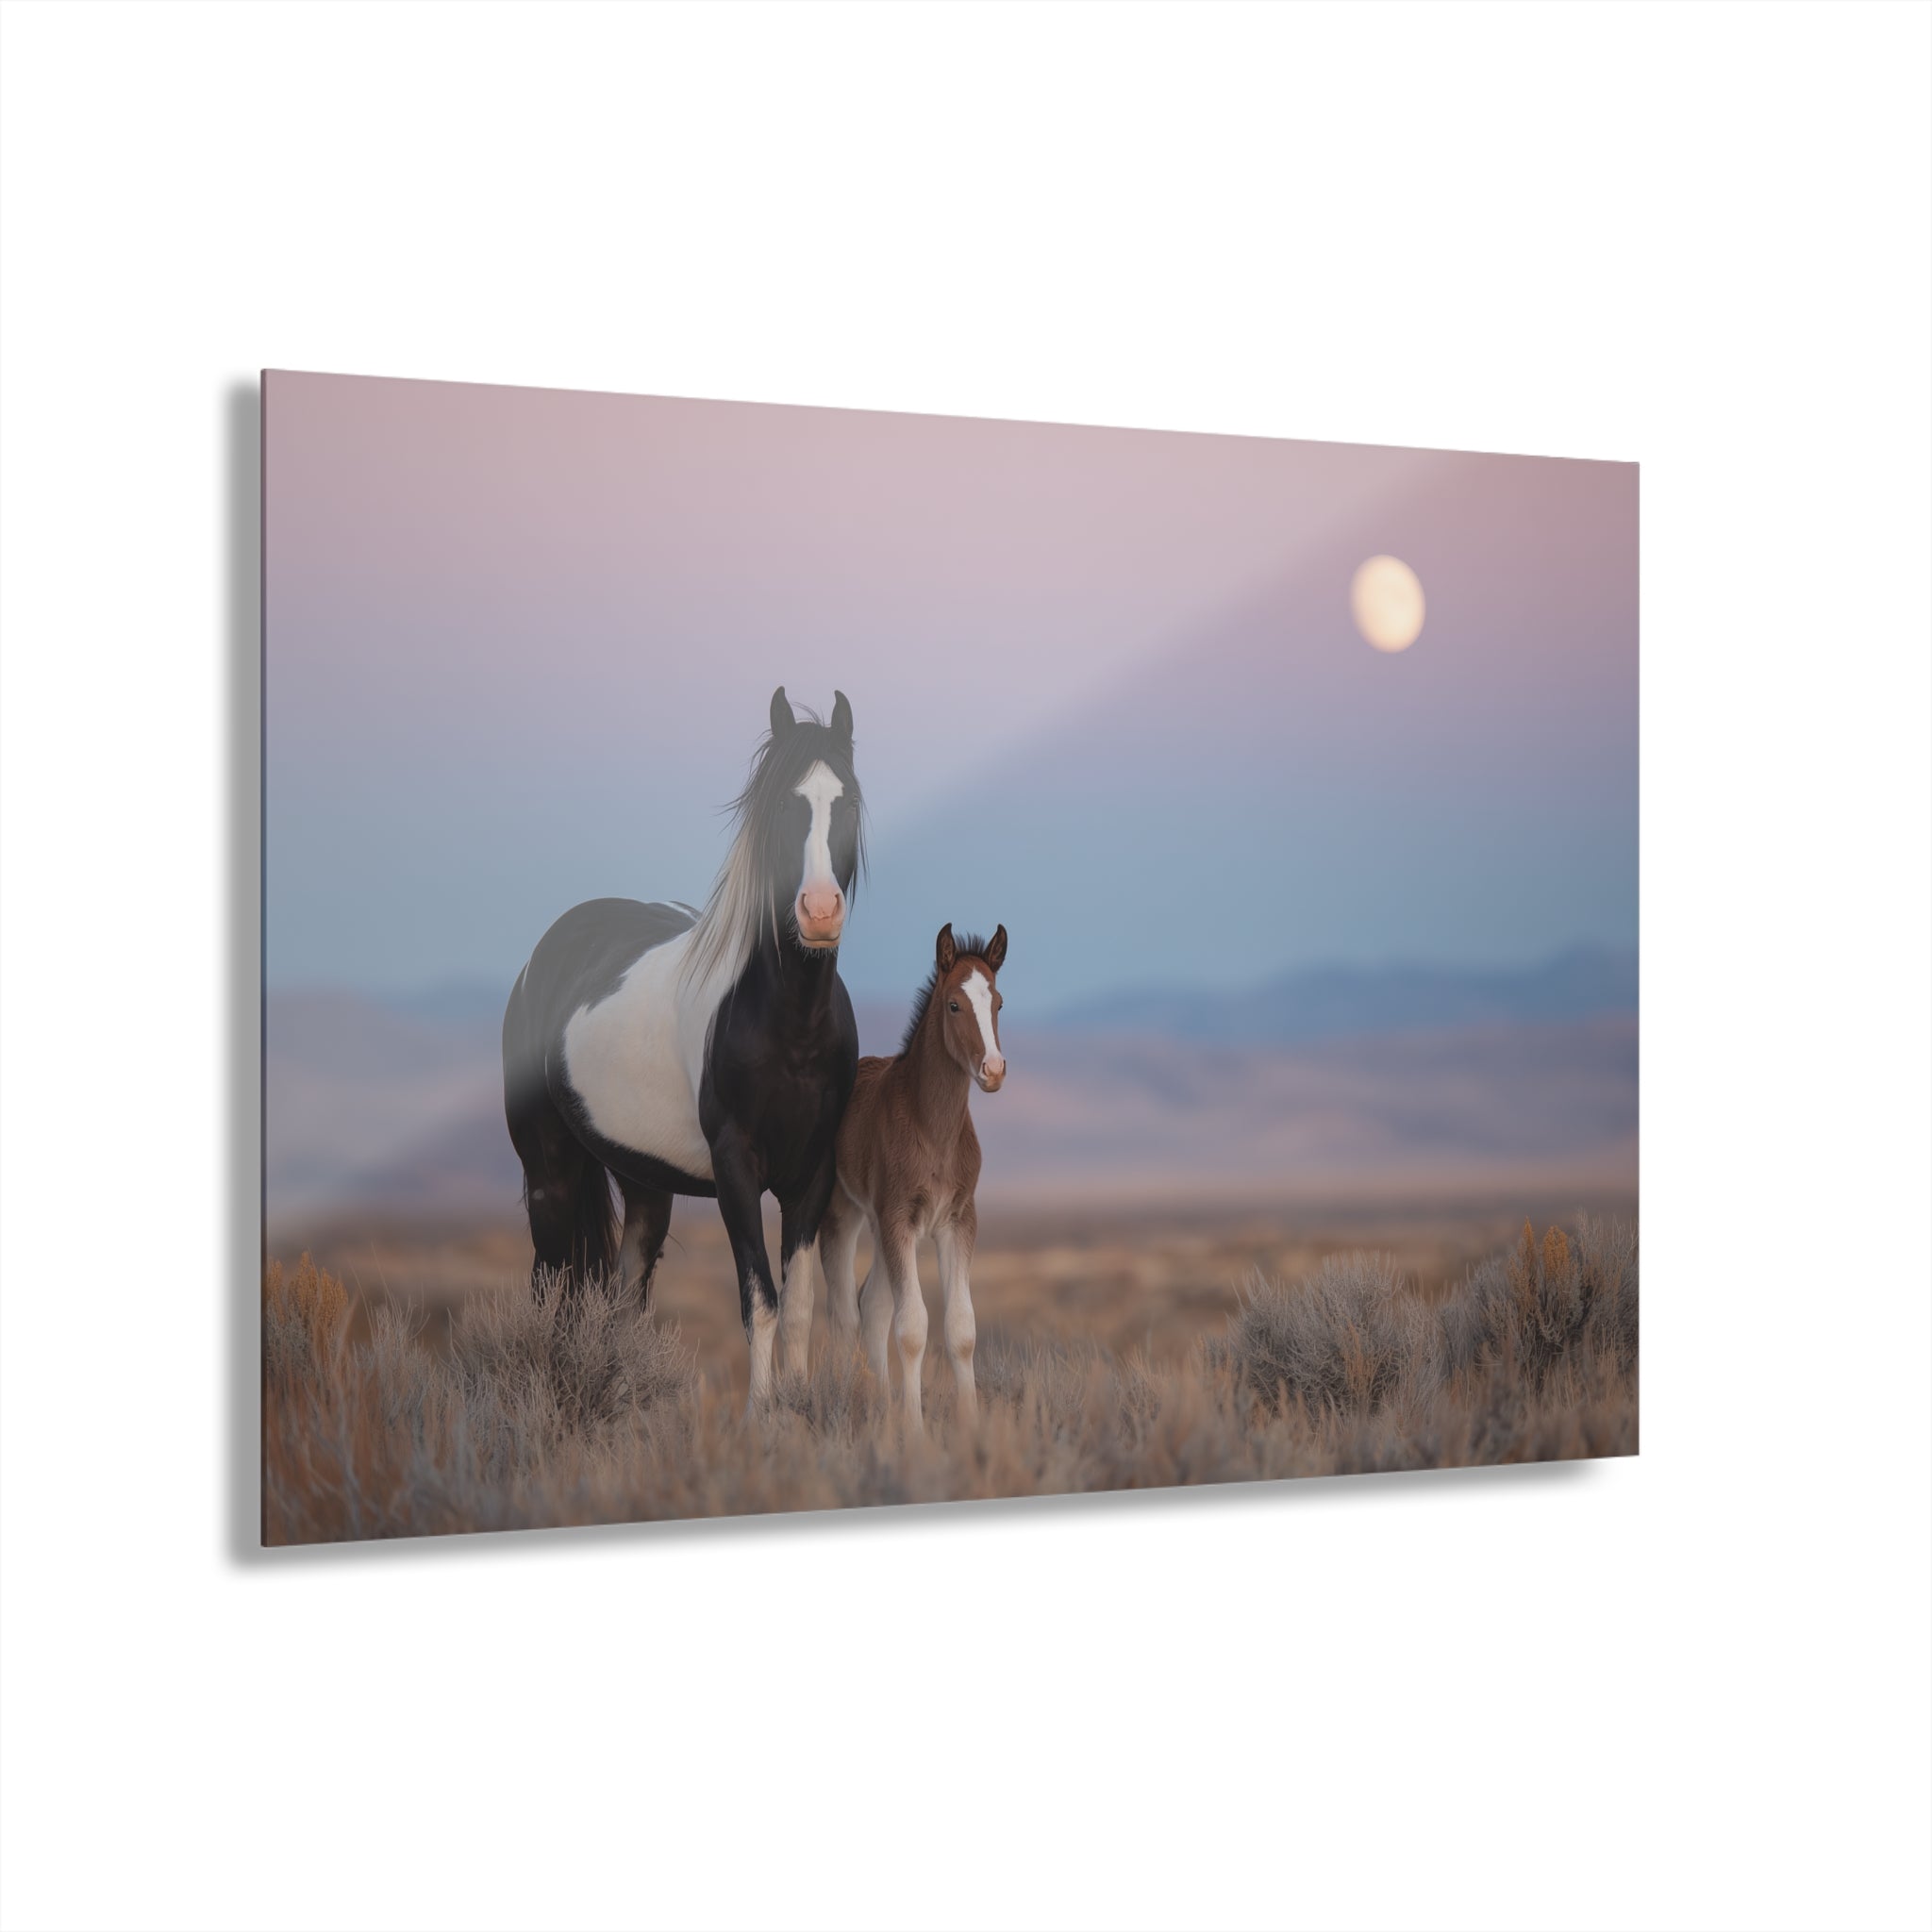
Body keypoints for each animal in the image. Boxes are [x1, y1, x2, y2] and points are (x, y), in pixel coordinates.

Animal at [501, 686, 864, 1410]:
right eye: (784, 805)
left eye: (850, 802)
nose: (819, 912)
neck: (792, 1028)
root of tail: (545, 958)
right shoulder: (736, 1172)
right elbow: (760, 1302)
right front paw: (761, 1415)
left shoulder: (811, 1174)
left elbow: (799, 1306)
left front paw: (798, 1408)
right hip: (550, 1176)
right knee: (551, 1293)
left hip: (644, 1188)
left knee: (624, 1301)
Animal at [819, 922, 1008, 1434]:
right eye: (954, 1004)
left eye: (998, 1003)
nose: (994, 1070)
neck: (931, 1127)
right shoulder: (899, 1218)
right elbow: (912, 1328)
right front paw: (915, 1432)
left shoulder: (956, 1221)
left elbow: (960, 1328)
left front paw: (969, 1428)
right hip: (842, 1217)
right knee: (841, 1311)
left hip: (881, 1226)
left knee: (871, 1307)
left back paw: (882, 1405)